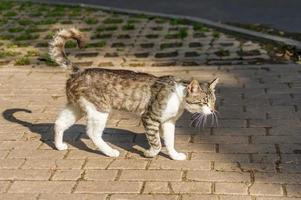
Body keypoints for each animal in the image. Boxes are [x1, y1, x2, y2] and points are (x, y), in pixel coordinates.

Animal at [49, 28, 218, 160]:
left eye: (213, 101)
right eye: (204, 101)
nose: (212, 110)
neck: (178, 98)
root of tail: (79, 71)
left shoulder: (168, 122)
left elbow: (170, 142)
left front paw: (174, 155)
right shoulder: (149, 118)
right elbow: (156, 142)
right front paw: (150, 153)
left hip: (76, 107)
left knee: (59, 123)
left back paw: (59, 146)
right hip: (99, 110)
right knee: (92, 133)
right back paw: (110, 152)